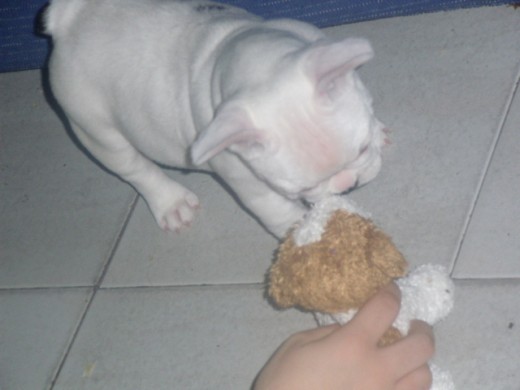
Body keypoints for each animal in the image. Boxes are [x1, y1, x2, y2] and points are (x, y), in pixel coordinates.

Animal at [44, 0, 386, 236]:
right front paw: (304, 233)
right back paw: (171, 202)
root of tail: (69, 19)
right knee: (132, 166)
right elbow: (275, 209)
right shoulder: (249, 181)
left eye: (362, 149)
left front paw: (380, 131)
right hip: (92, 124)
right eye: (300, 191)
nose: (349, 185)